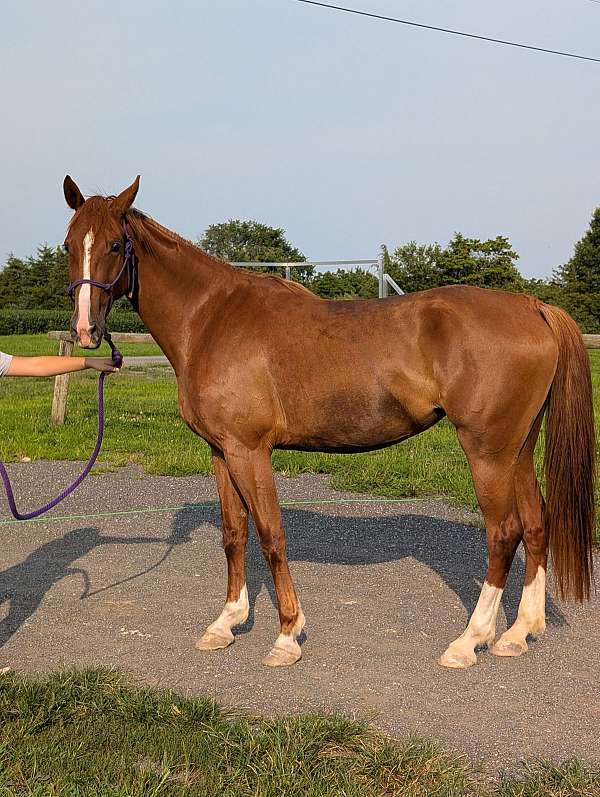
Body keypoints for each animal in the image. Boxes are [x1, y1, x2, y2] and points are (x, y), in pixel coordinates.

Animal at [62, 175, 595, 669]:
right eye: (69, 243)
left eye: (114, 245)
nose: (86, 331)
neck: (212, 318)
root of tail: (532, 307)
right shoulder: (220, 450)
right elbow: (234, 534)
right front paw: (226, 623)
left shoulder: (249, 451)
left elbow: (271, 535)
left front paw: (286, 635)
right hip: (517, 449)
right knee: (536, 523)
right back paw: (518, 633)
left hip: (487, 451)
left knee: (503, 533)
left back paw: (470, 641)